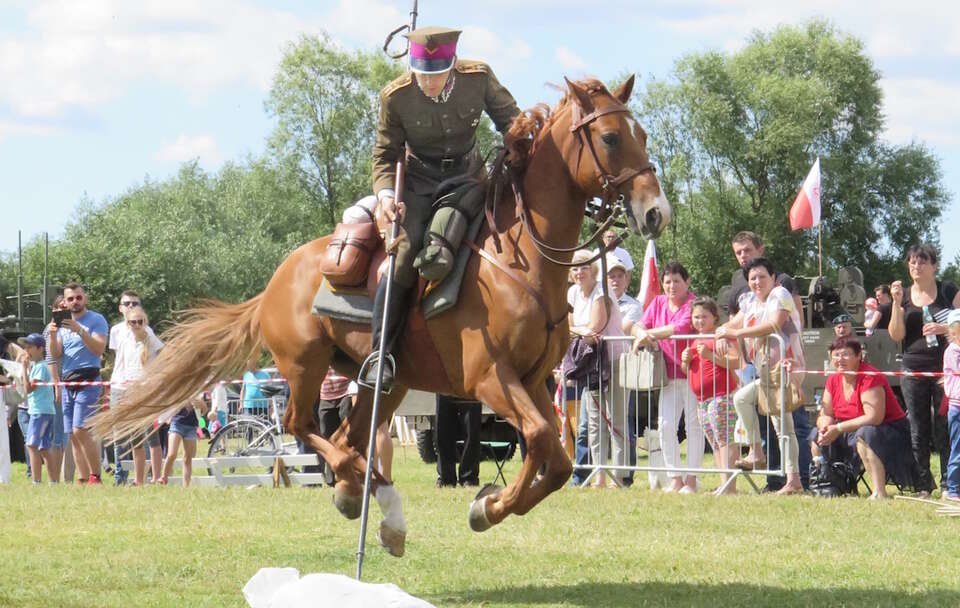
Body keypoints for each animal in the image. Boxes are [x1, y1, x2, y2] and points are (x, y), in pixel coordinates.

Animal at [95, 75, 668, 556]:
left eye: (639, 132)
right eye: (611, 137)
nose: (656, 212)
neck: (516, 258)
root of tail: (275, 283)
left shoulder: (536, 381)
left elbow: (560, 458)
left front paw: (486, 501)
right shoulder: (491, 378)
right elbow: (545, 441)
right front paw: (488, 506)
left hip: (383, 382)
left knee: (347, 438)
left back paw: (371, 505)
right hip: (306, 367)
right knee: (305, 428)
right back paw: (365, 496)